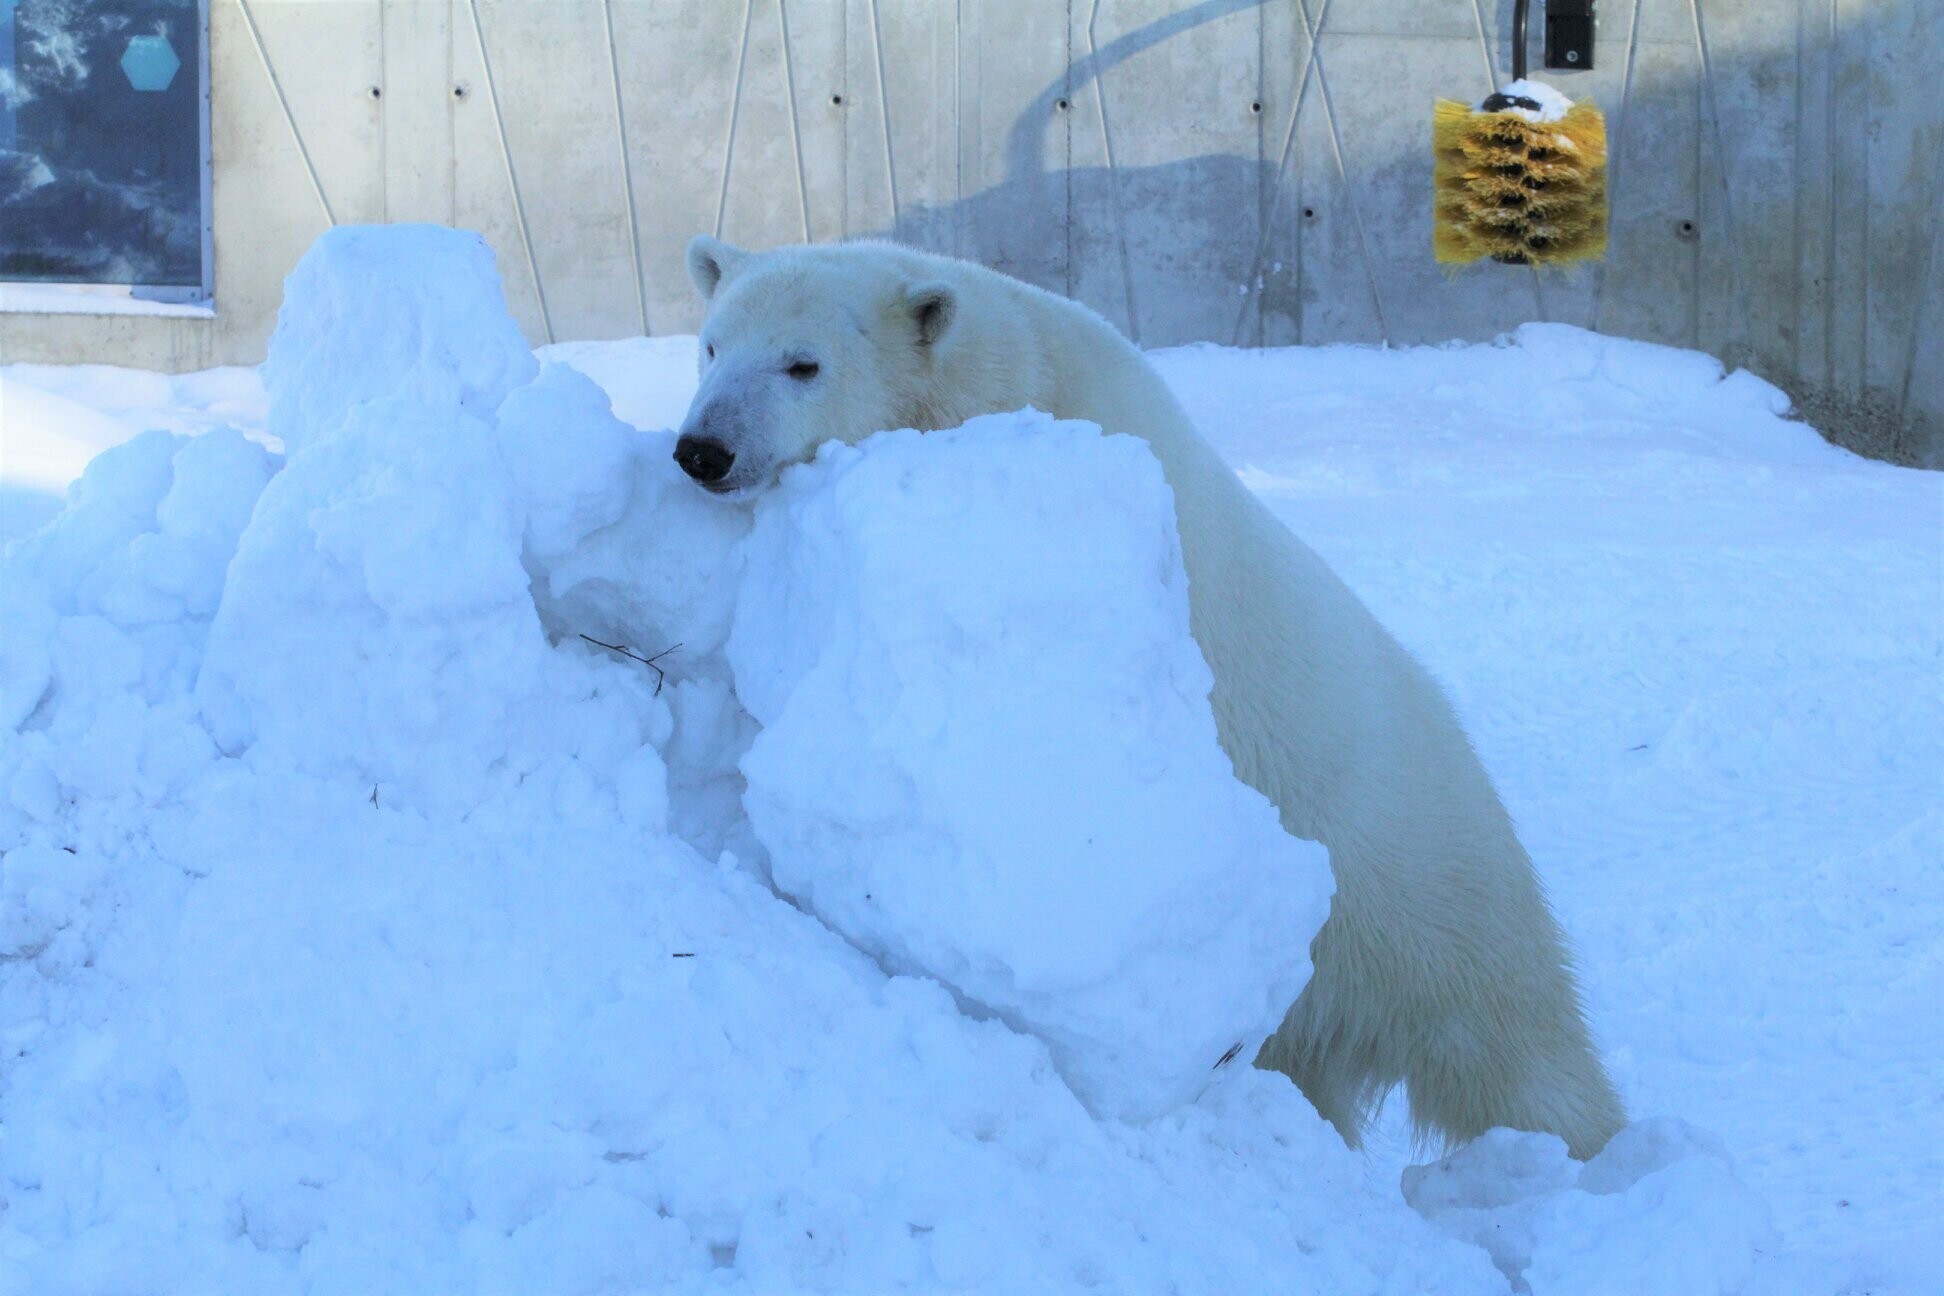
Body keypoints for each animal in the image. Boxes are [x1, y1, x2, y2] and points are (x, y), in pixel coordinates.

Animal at [673, 235, 1627, 1160]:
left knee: (1514, 1057)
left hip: (1427, 890)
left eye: (803, 364)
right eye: (712, 345)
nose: (703, 450)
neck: (1017, 379)